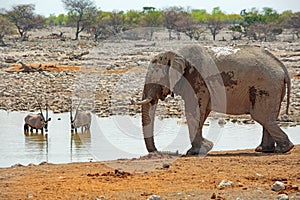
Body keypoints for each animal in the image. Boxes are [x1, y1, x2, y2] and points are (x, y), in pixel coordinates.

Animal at [139, 45, 294, 155]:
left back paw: (283, 149)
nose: (158, 152)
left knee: (261, 117)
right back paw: (265, 150)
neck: (175, 53)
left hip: (267, 86)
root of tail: (282, 66)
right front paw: (207, 146)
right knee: (268, 118)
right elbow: (203, 112)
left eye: (155, 75)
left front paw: (194, 152)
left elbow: (193, 111)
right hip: (273, 88)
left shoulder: (197, 79)